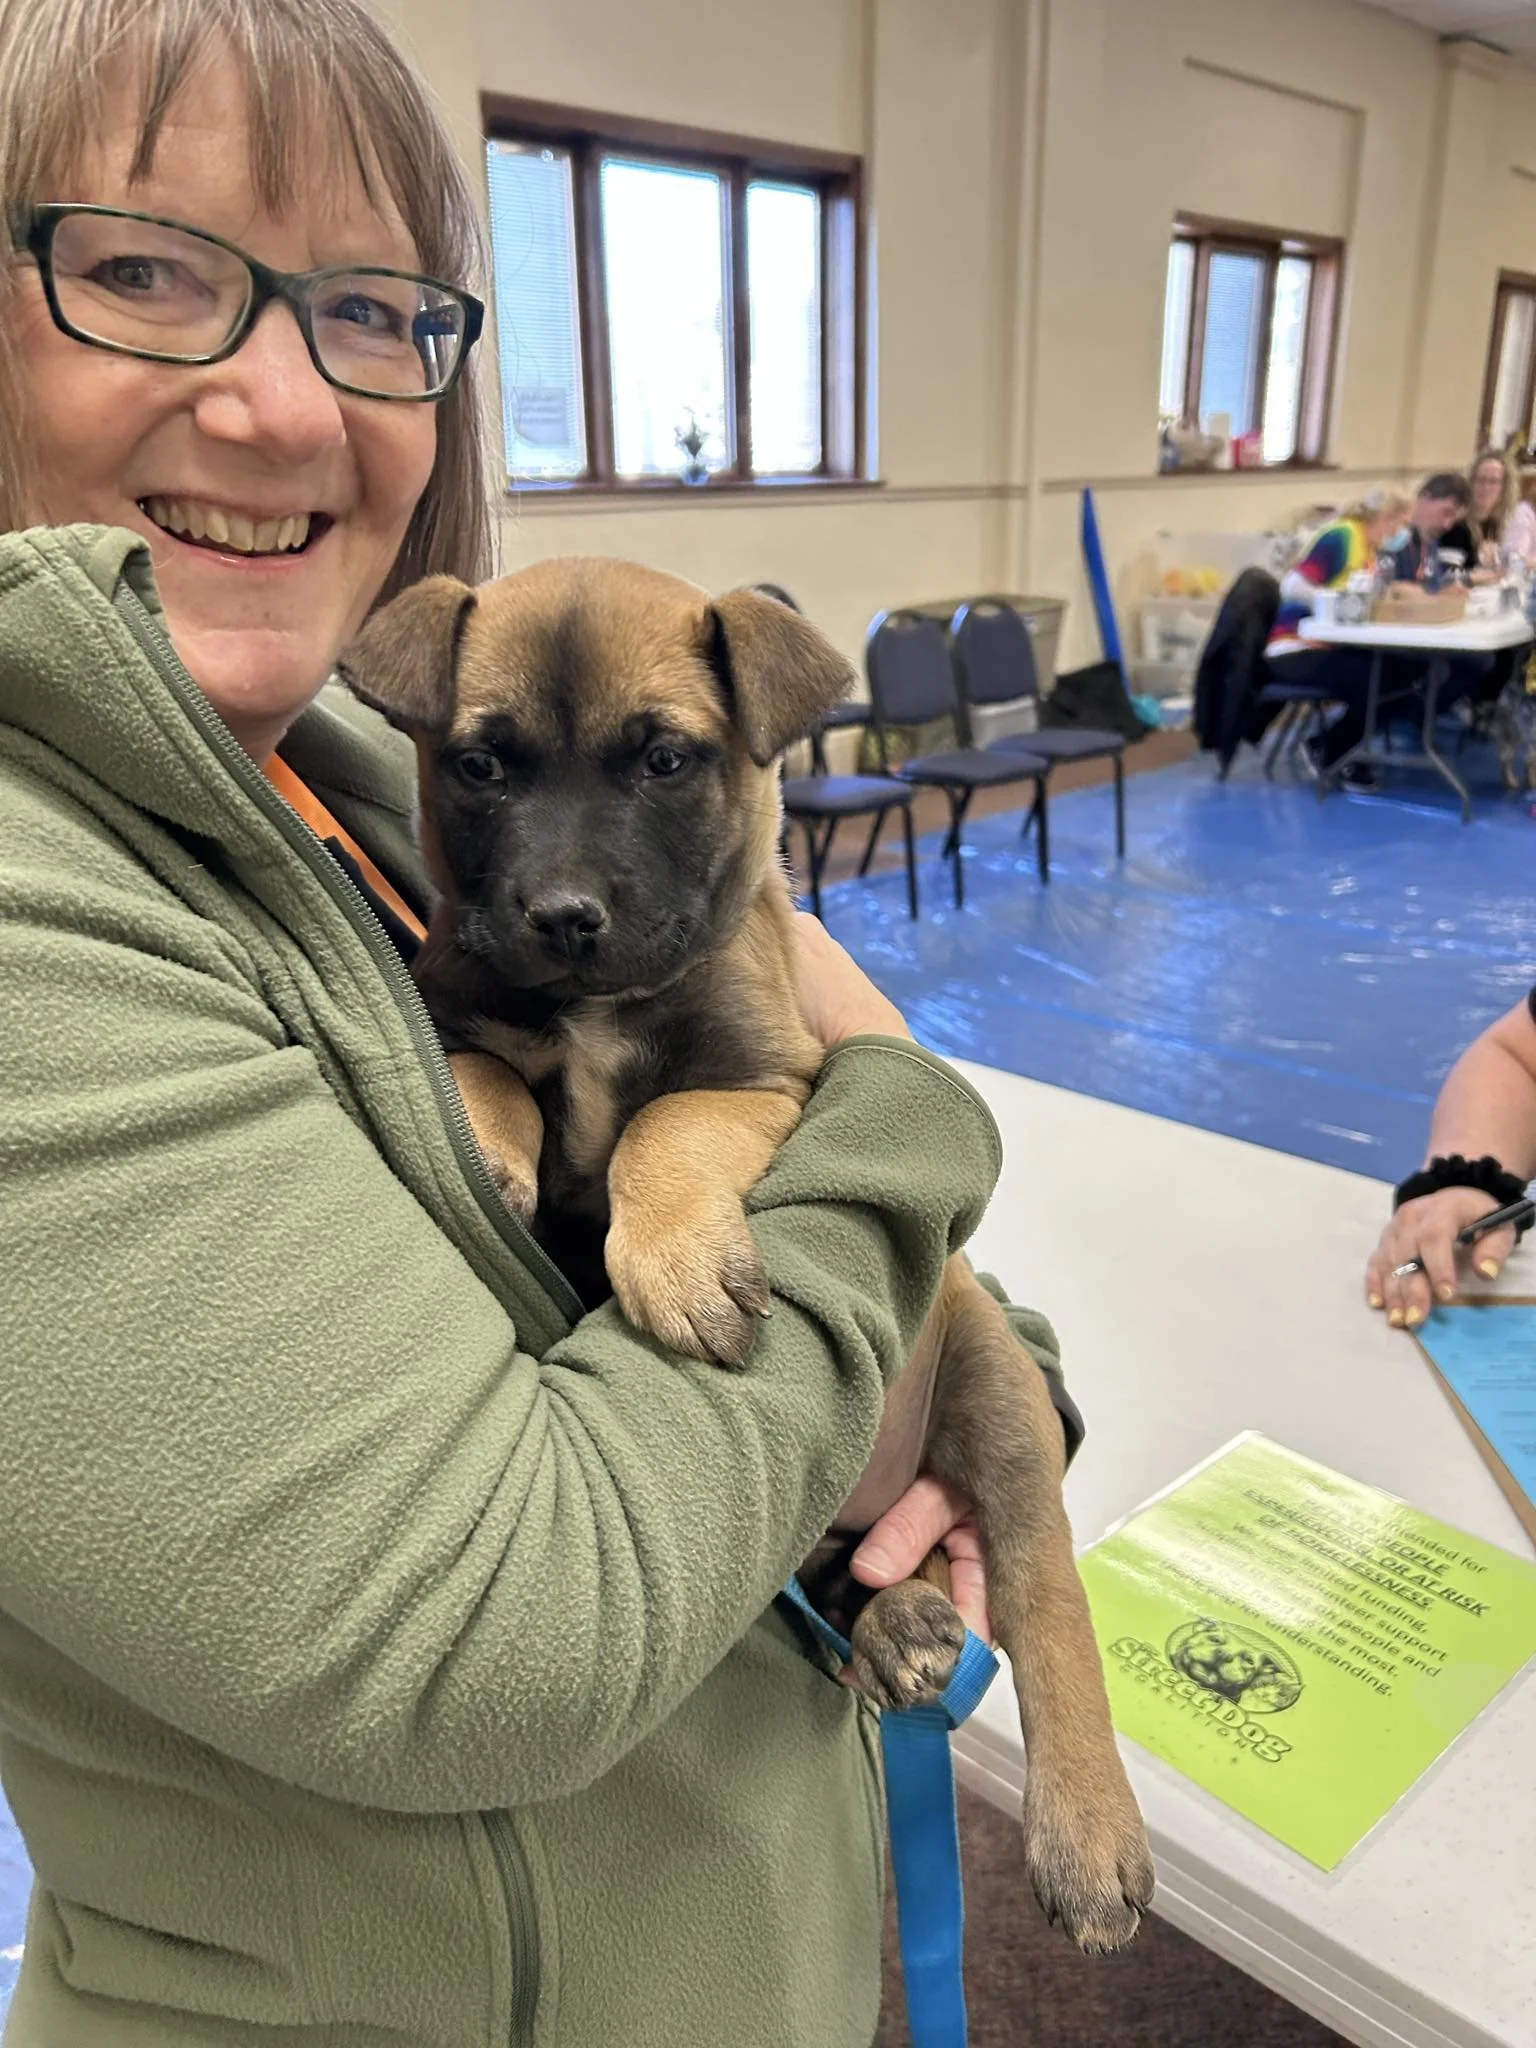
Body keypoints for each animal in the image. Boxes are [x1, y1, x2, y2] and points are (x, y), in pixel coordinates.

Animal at [339, 556, 1154, 1951]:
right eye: (481, 764)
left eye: (667, 759)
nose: (561, 919)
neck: (597, 1009)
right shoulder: (479, 1002)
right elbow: (489, 1066)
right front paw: (493, 1149)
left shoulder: (772, 1079)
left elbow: (658, 1125)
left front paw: (672, 1258)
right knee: (858, 1570)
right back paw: (903, 1622)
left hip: (991, 1393)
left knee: (1048, 1603)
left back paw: (1086, 1827)